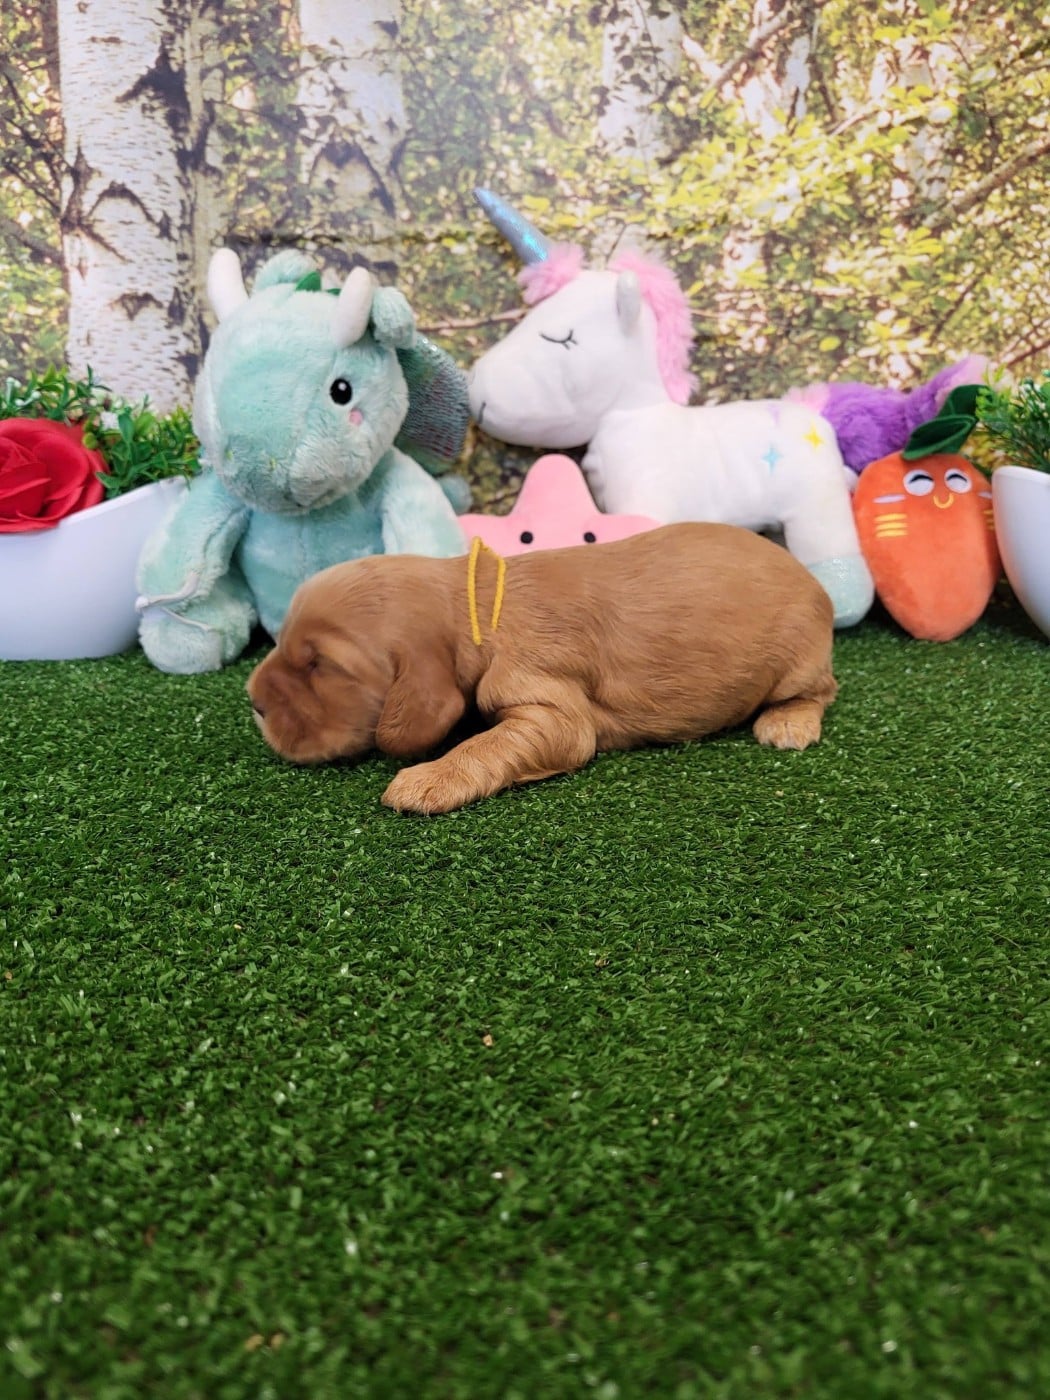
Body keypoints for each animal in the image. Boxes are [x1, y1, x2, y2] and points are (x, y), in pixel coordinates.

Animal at [247, 523, 837, 814]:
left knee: (821, 690)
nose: (251, 702)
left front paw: (428, 778)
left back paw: (788, 722)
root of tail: (816, 581)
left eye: (320, 664)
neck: (478, 601)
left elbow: (489, 743)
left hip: (799, 658)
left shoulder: (548, 700)